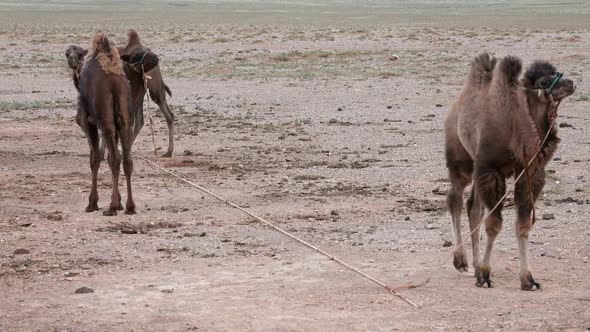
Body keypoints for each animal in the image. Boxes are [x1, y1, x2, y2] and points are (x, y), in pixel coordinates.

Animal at [76, 33, 153, 215]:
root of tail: (113, 80)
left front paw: (92, 203)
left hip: (105, 119)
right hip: (125, 117)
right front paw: (119, 202)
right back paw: (130, 206)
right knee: (126, 159)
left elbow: (95, 158)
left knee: (115, 158)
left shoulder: (87, 122)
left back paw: (111, 208)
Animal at [119, 29, 176, 158]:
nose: (155, 58)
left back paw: (168, 151)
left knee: (168, 115)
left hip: (155, 89)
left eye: (148, 49)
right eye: (135, 55)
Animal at [446, 53, 576, 290]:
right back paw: (461, 261)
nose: (570, 82)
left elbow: (523, 223)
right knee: (455, 198)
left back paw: (474, 265)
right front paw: (485, 275)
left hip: (477, 168)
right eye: (543, 81)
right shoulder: (491, 169)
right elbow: (494, 223)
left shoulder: (528, 171)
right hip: (462, 159)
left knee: (473, 207)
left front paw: (528, 279)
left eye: (555, 72)